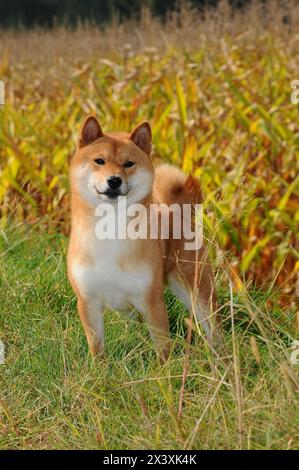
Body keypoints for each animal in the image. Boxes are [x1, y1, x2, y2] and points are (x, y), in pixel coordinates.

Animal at [67, 115, 218, 362]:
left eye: (128, 163)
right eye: (99, 161)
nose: (114, 180)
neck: (110, 229)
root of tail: (176, 211)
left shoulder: (152, 301)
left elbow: (162, 347)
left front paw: (163, 371)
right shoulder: (88, 302)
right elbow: (97, 348)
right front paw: (99, 369)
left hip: (197, 291)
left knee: (213, 327)